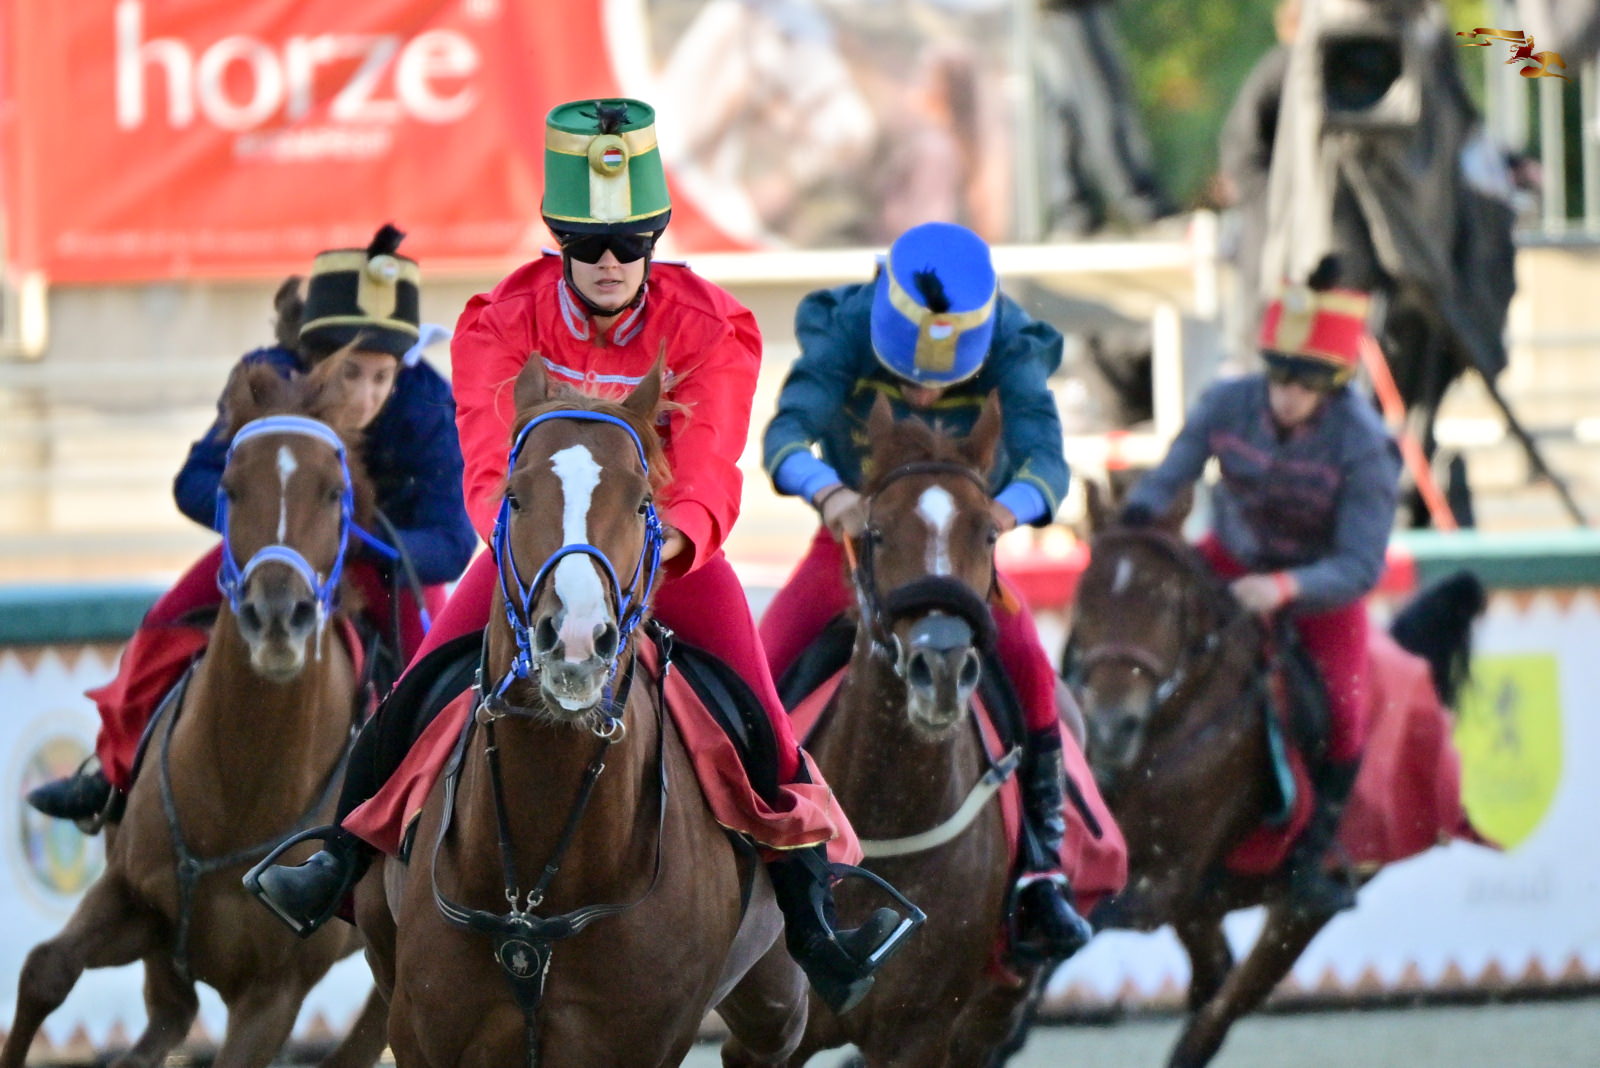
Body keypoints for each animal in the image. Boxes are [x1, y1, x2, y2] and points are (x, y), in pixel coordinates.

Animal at [1, 359, 390, 1068]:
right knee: (166, 1020)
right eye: (231, 489)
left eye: (332, 493)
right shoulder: (135, 905)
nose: (276, 617)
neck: (240, 788)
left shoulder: (273, 996)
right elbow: (45, 970)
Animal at [353, 355, 807, 1067]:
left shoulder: (635, 1040)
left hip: (776, 995)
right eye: (514, 496)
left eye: (644, 502)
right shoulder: (427, 1031)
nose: (573, 639)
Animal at [1064, 484, 1483, 1068]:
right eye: (1085, 595)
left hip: (1298, 916)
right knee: (1211, 981)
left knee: (1217, 1014)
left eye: (1168, 601)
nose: (1109, 723)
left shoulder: (1160, 885)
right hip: (1206, 904)